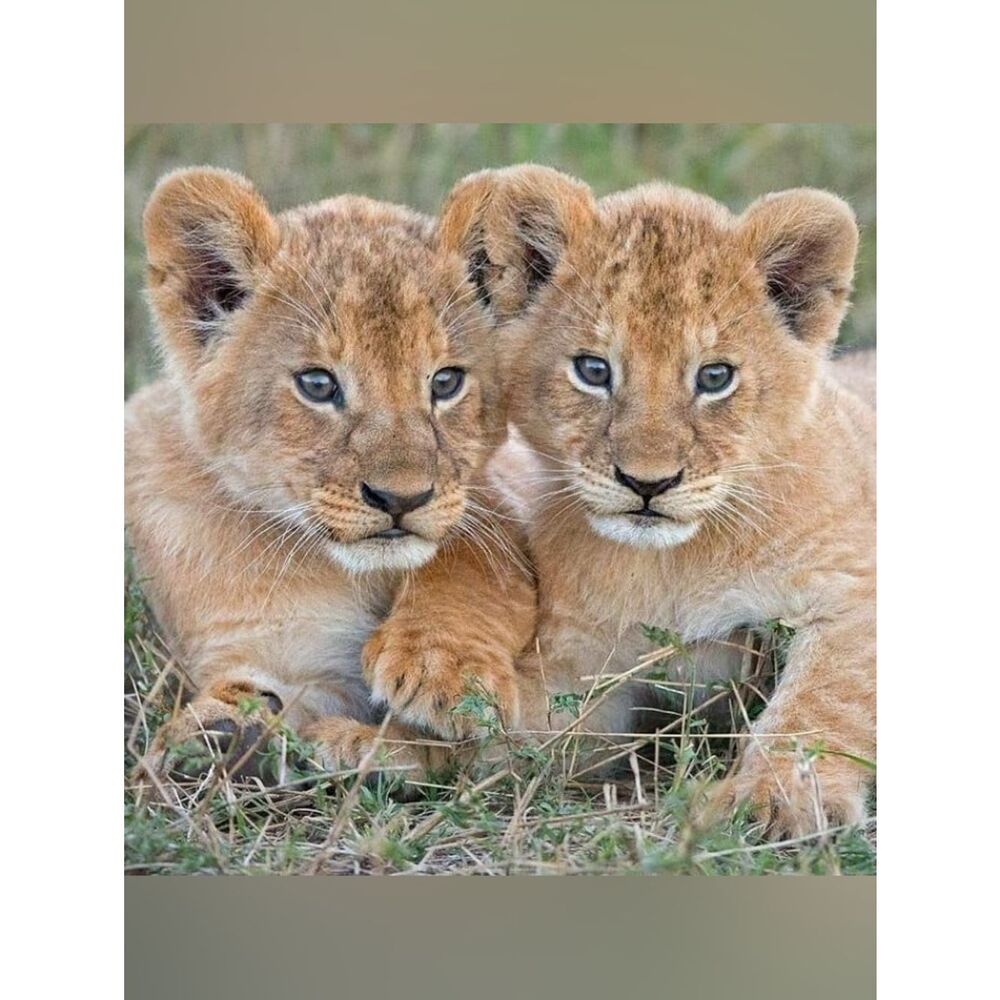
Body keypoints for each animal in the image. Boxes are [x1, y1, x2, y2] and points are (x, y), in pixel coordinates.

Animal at [126, 167, 534, 788]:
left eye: (445, 382)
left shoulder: (493, 504)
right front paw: (218, 735)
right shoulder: (277, 651)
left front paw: (446, 672)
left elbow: (469, 569)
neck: (341, 571)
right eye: (318, 385)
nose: (401, 498)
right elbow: (262, 686)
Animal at [368, 165, 875, 838]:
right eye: (593, 370)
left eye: (715, 377)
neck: (675, 565)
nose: (648, 484)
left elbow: (820, 704)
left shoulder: (854, 592)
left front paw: (776, 800)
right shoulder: (585, 668)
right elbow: (516, 735)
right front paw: (375, 742)